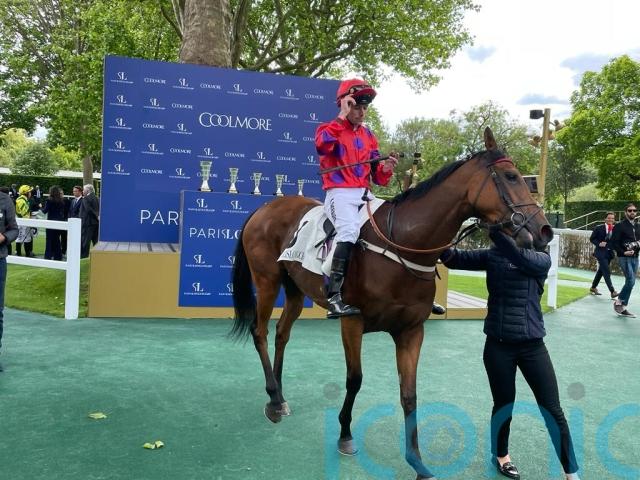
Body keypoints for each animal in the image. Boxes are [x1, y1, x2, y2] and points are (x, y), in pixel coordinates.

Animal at [230, 128, 553, 479]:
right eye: (511, 176)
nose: (544, 230)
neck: (403, 244)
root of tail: (264, 207)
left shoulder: (411, 331)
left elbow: (409, 393)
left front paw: (417, 461)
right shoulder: (352, 322)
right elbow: (355, 379)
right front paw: (345, 434)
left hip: (294, 290)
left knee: (281, 334)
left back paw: (279, 391)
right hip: (267, 280)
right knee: (260, 332)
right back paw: (274, 400)